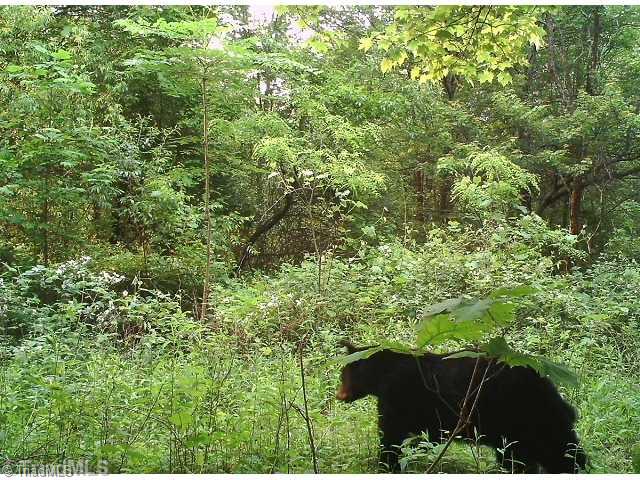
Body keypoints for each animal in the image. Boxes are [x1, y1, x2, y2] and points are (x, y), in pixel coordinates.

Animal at [336, 341, 587, 473]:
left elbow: (390, 435)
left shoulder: (397, 397)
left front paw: (386, 465)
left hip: (526, 415)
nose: (339, 395)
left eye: (342, 374)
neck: (381, 375)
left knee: (558, 448)